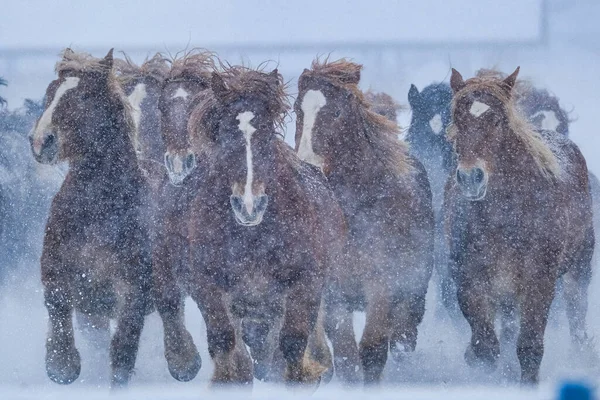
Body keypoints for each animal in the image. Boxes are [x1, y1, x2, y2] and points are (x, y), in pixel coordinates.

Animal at [29, 48, 154, 386]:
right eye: (49, 93)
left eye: (84, 96)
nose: (41, 141)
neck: (96, 214)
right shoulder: (59, 272)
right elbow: (57, 302)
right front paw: (61, 364)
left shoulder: (132, 290)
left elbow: (123, 351)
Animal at [294, 58, 432, 382]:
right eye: (297, 110)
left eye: (336, 112)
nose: (307, 167)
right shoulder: (334, 293)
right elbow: (346, 356)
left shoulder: (381, 285)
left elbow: (373, 350)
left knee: (405, 334)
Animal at [442, 69, 592, 384]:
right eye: (458, 120)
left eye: (498, 121)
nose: (471, 178)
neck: (503, 218)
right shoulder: (468, 277)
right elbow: (485, 346)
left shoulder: (540, 280)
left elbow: (530, 345)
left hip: (579, 266)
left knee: (576, 310)